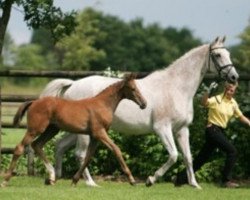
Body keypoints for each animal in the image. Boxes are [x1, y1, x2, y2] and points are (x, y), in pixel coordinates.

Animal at [0, 74, 146, 188]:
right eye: (133, 88)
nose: (144, 104)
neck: (102, 104)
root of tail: (34, 102)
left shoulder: (94, 136)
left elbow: (88, 157)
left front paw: (75, 181)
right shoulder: (100, 132)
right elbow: (116, 150)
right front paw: (132, 180)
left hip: (52, 129)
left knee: (37, 145)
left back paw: (51, 177)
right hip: (35, 129)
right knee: (20, 147)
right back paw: (6, 180)